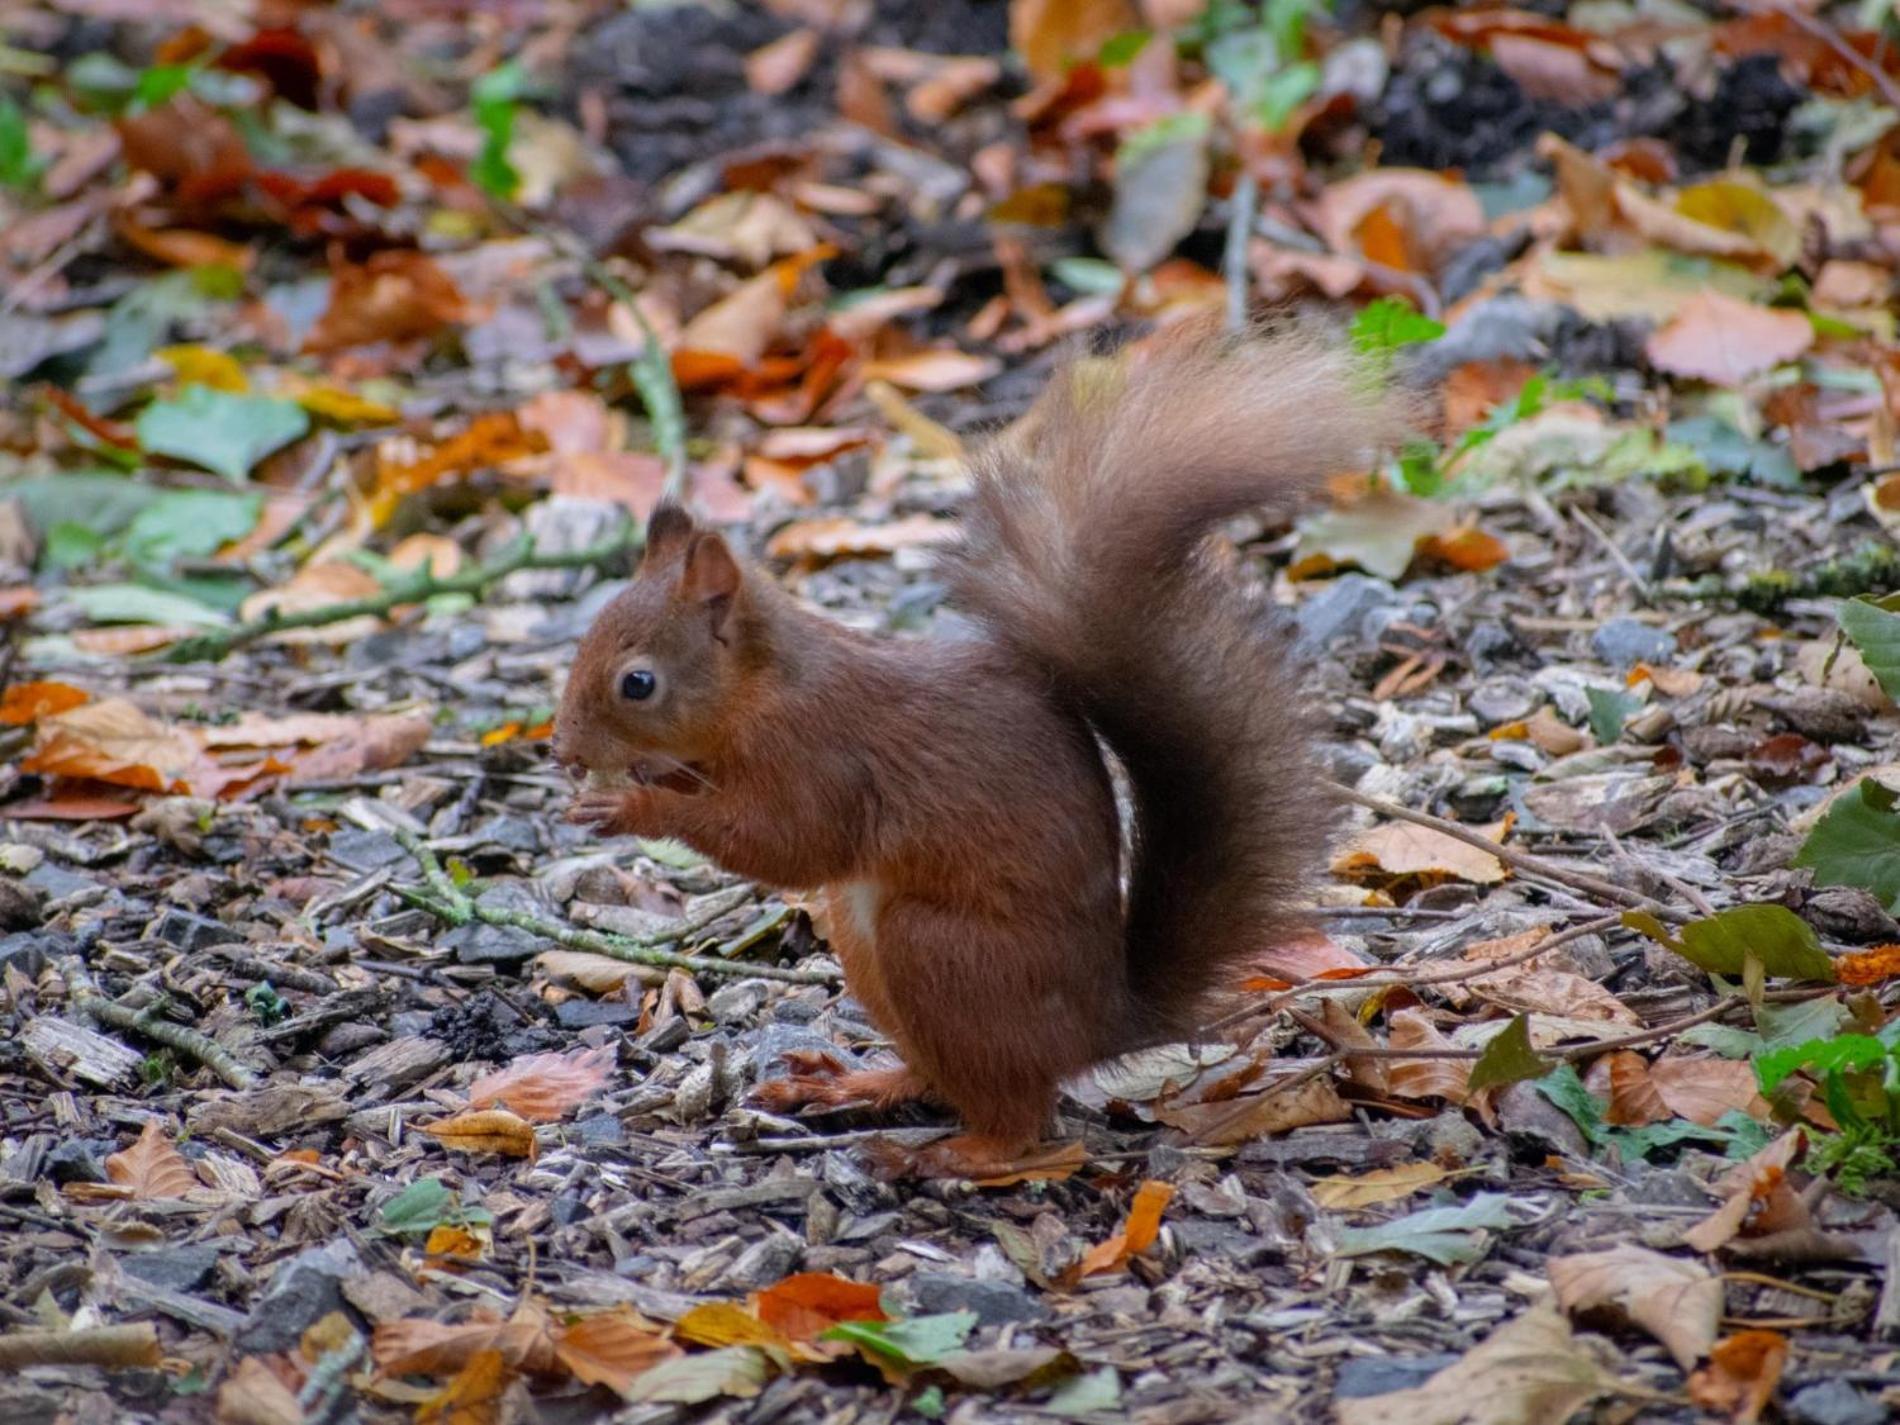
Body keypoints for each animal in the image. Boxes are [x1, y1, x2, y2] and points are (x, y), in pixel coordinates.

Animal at [551, 317, 1398, 1178]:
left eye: (638, 683)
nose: (561, 750)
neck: (762, 688)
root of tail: (1098, 1024)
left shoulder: (820, 753)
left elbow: (789, 842)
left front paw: (632, 806)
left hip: (940, 952)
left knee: (1018, 1114)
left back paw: (957, 1152)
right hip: (866, 944)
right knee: (941, 1073)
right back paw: (862, 1084)